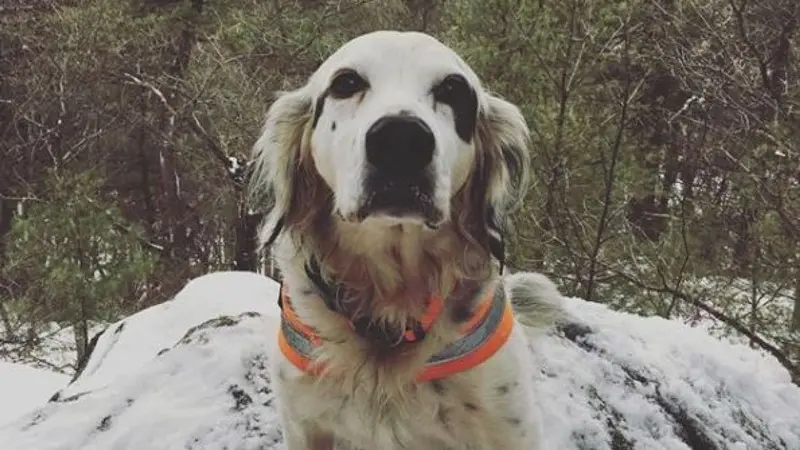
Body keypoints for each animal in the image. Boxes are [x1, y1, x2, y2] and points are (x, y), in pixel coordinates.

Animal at [250, 29, 564, 448]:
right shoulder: (305, 423)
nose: (401, 140)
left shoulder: (509, 425)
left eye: (453, 89)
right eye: (346, 83)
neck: (391, 305)